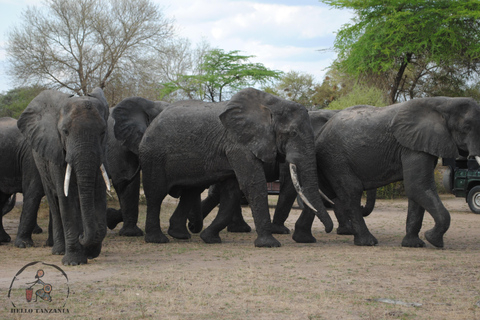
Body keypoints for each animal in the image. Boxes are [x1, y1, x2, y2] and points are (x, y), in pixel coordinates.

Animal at [17, 87, 110, 264]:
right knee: (55, 203)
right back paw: (59, 250)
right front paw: (74, 261)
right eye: (65, 132)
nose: (82, 235)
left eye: (103, 132)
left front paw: (90, 252)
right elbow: (66, 198)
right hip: (40, 164)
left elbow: (99, 195)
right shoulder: (56, 150)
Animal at [114, 87, 334, 248]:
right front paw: (270, 244)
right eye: (293, 133)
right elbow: (253, 185)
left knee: (190, 192)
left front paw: (210, 239)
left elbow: (232, 193)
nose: (329, 229)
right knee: (156, 193)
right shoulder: (238, 143)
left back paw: (181, 235)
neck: (271, 104)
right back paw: (158, 240)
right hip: (154, 155)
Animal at [296, 97, 480, 248]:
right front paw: (433, 239)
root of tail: (321, 132)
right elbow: (418, 187)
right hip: (335, 157)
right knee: (351, 190)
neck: (444, 102)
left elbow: (415, 191)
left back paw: (304, 238)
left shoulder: (419, 144)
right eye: (466, 127)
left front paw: (414, 244)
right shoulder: (411, 146)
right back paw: (367, 242)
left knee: (324, 193)